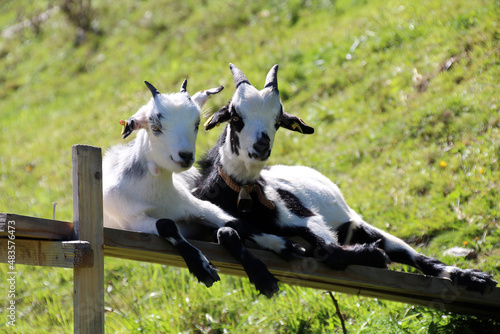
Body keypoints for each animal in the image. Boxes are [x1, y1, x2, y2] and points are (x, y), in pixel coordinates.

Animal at [102, 79, 278, 288]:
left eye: (196, 123)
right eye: (155, 128)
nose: (185, 155)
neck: (155, 195)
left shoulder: (196, 205)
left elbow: (234, 222)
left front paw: (284, 249)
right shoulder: (132, 222)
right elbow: (166, 224)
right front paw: (203, 267)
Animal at [190, 64, 496, 294]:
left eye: (278, 121)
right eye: (235, 117)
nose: (261, 146)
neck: (244, 198)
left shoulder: (307, 218)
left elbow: (329, 250)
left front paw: (373, 255)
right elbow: (227, 232)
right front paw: (262, 278)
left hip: (356, 222)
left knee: (421, 259)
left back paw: (473, 277)